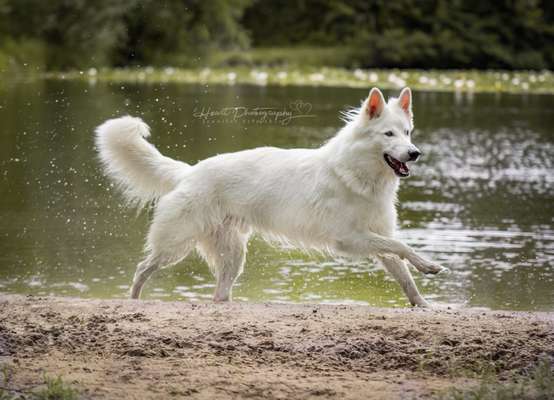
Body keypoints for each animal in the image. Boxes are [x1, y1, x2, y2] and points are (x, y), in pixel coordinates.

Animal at [96, 86, 444, 306]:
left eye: (408, 133)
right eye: (389, 134)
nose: (415, 153)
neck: (357, 173)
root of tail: (188, 172)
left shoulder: (376, 236)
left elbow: (403, 271)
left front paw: (424, 301)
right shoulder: (352, 238)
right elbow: (401, 247)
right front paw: (428, 265)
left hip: (232, 254)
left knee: (219, 293)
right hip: (176, 244)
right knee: (142, 268)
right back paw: (133, 300)